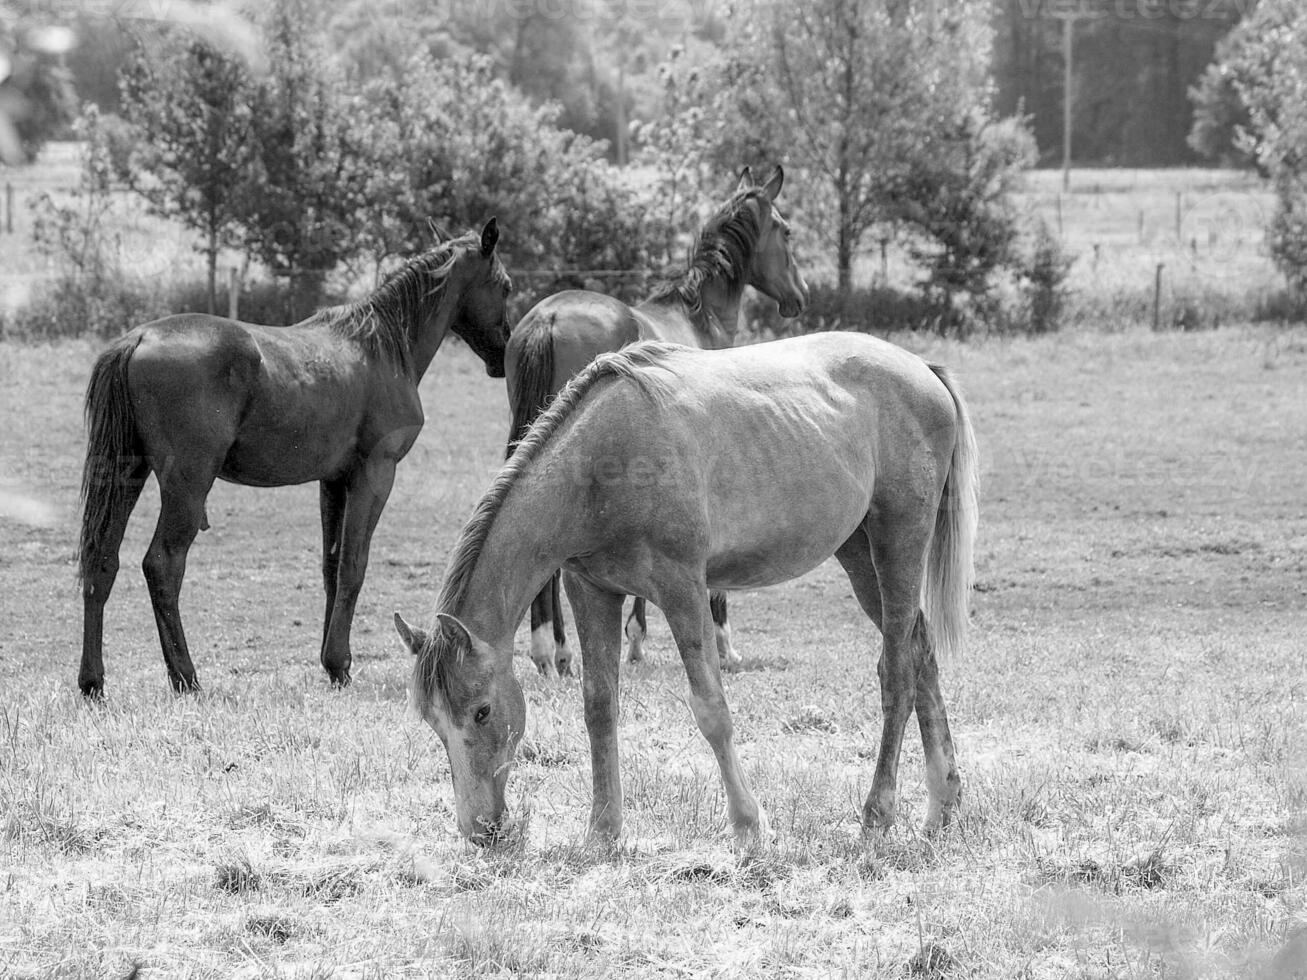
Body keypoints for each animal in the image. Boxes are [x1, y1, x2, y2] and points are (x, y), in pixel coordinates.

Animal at [79, 222, 512, 700]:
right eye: (506, 286)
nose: (504, 353)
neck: (380, 347)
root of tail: (137, 339)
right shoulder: (375, 474)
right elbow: (353, 566)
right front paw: (339, 662)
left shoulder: (333, 482)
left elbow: (331, 567)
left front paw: (332, 666)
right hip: (187, 486)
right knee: (162, 565)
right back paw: (186, 678)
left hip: (126, 476)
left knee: (102, 561)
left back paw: (93, 682)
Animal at [392, 334, 977, 846]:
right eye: (432, 721)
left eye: (482, 711)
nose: (480, 831)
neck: (602, 465)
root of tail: (923, 370)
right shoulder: (592, 591)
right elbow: (598, 707)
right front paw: (602, 832)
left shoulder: (682, 589)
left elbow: (711, 709)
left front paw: (748, 828)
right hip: (860, 557)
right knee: (921, 656)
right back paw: (942, 805)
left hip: (898, 543)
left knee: (896, 671)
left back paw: (877, 815)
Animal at [507, 165, 805, 679]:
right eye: (785, 231)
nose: (799, 298)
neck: (699, 317)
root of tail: (548, 316)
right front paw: (715, 642)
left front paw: (636, 638)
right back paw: (557, 650)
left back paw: (550, 649)